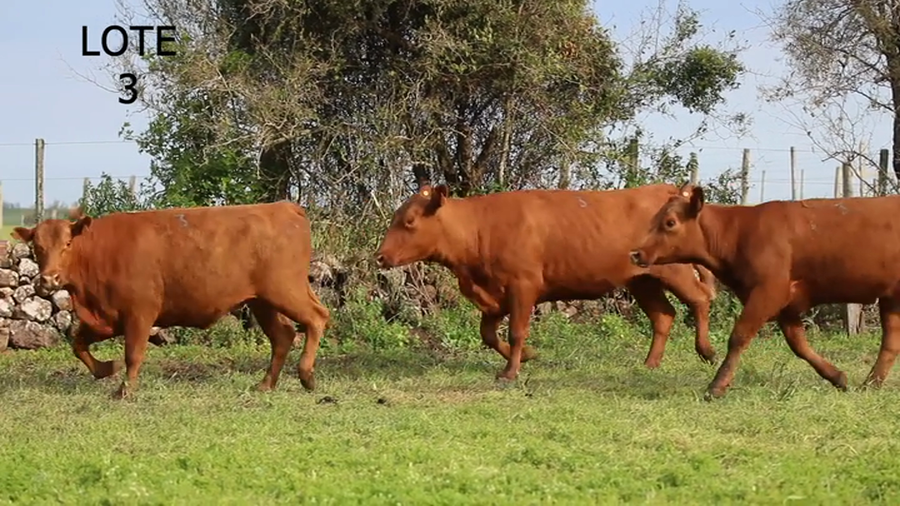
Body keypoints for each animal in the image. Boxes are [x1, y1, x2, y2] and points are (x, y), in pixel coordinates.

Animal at [11, 202, 330, 399]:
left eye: (67, 243)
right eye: (37, 247)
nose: (48, 280)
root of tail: (283, 207)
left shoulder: (139, 313)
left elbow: (133, 353)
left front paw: (125, 390)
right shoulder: (106, 318)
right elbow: (78, 345)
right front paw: (105, 369)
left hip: (285, 290)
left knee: (317, 317)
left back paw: (306, 375)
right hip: (262, 302)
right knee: (283, 335)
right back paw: (266, 384)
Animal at [374, 182, 719, 382]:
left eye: (409, 221)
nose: (380, 257)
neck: (479, 228)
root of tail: (667, 189)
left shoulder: (522, 286)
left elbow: (515, 332)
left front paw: (511, 372)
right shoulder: (494, 295)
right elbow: (488, 334)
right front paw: (529, 356)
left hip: (675, 271)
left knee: (700, 299)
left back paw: (707, 351)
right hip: (642, 281)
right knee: (663, 316)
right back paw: (650, 364)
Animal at [629, 183, 900, 400]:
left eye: (670, 223)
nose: (636, 253)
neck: (739, 232)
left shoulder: (768, 292)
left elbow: (739, 337)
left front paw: (716, 386)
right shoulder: (785, 303)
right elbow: (799, 345)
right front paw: (837, 377)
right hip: (891, 300)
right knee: (890, 343)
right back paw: (871, 384)